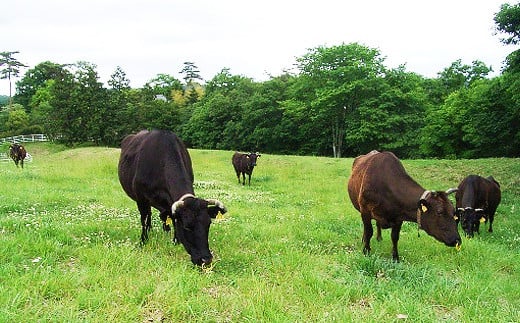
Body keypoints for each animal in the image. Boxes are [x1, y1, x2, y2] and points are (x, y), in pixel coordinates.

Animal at [118, 130, 228, 268]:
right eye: (187, 226)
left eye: (208, 224)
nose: (206, 260)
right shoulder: (141, 199)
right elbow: (144, 219)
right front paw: (143, 240)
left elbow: (172, 219)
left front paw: (176, 241)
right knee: (148, 215)